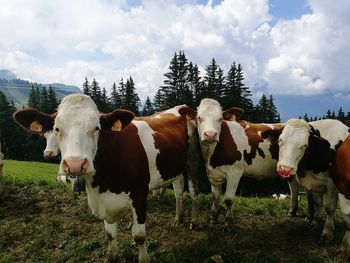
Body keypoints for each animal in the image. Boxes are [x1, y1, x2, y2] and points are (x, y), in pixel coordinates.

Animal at [13, 94, 200, 262]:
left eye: (97, 128)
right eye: (57, 129)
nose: (75, 164)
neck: (104, 183)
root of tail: (179, 107)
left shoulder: (139, 194)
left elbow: (139, 236)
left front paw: (143, 258)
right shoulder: (103, 201)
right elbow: (110, 234)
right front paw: (113, 256)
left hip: (192, 159)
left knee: (193, 190)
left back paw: (193, 221)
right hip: (175, 166)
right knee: (178, 188)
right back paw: (178, 218)